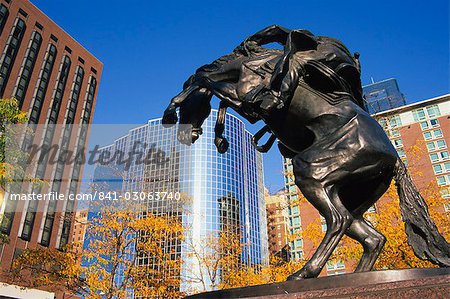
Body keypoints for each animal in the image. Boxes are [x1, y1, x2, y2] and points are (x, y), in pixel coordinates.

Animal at [163, 24, 450, 280]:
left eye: (191, 109)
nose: (187, 136)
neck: (249, 66)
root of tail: (394, 158)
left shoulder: (245, 98)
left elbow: (204, 80)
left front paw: (172, 109)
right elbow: (218, 96)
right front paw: (220, 136)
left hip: (313, 171)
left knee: (338, 220)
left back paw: (305, 272)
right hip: (350, 193)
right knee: (371, 236)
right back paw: (358, 274)